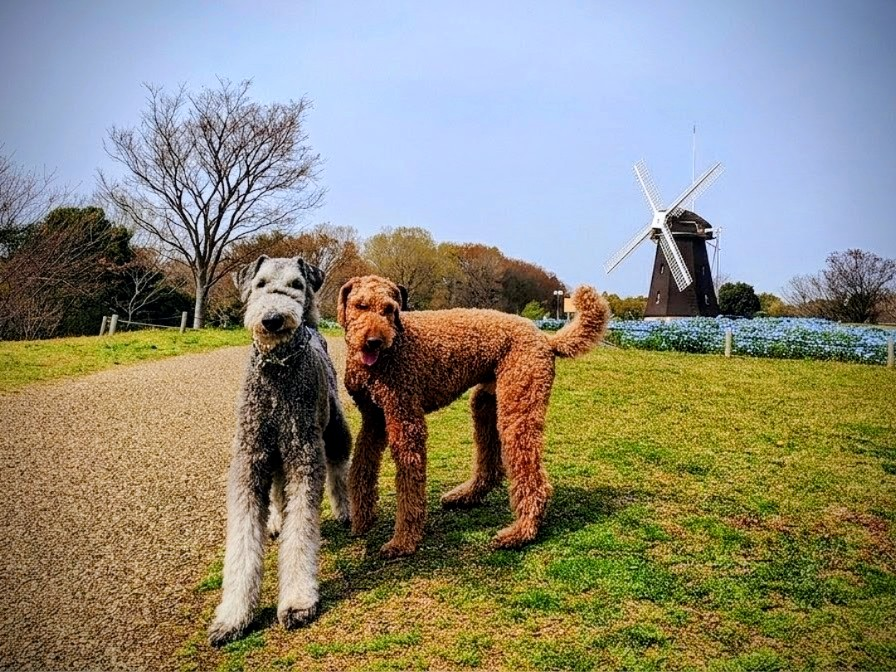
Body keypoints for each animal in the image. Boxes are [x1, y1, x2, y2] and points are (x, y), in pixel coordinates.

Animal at [208, 256, 352, 646]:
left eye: (296, 285)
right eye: (259, 284)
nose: (273, 319)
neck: (277, 371)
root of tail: (314, 329)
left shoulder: (304, 457)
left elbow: (301, 533)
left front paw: (298, 601)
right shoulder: (249, 461)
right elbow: (242, 542)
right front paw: (233, 615)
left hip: (333, 430)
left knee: (339, 470)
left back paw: (345, 510)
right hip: (274, 456)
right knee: (276, 489)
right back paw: (274, 520)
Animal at [337, 275, 610, 558]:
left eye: (389, 309)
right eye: (360, 306)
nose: (374, 341)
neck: (392, 351)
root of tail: (546, 338)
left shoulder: (405, 421)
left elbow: (409, 485)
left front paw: (403, 541)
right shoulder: (373, 420)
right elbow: (361, 469)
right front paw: (361, 522)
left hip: (518, 407)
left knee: (533, 479)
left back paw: (519, 533)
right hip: (487, 404)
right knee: (491, 466)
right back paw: (464, 497)